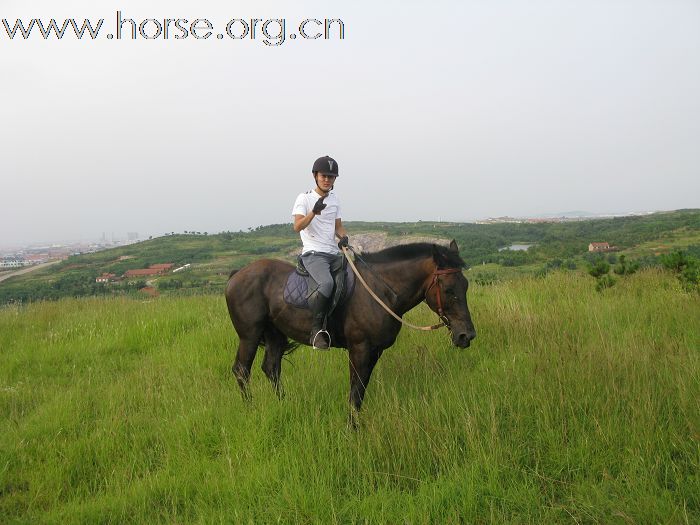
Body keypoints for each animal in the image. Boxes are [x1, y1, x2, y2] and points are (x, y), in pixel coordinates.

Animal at [224, 238, 476, 426]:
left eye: (465, 286)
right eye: (448, 289)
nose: (466, 335)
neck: (380, 291)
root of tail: (236, 274)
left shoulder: (375, 351)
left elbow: (361, 388)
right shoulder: (359, 349)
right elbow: (356, 389)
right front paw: (352, 427)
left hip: (275, 334)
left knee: (271, 369)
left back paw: (284, 404)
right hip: (249, 335)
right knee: (241, 370)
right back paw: (250, 408)